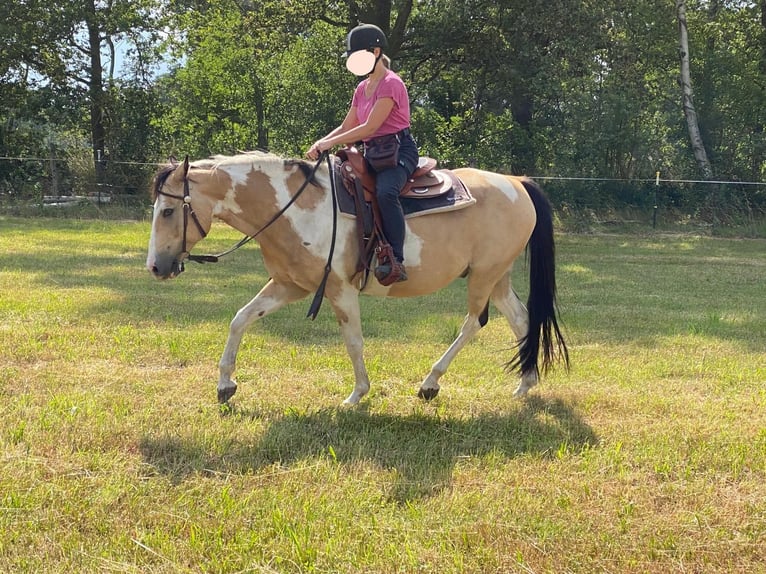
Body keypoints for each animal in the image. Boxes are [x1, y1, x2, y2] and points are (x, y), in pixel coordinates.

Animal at [146, 151, 568, 408]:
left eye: (167, 211)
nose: (155, 267)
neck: (297, 209)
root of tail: (517, 182)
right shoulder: (289, 285)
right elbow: (240, 318)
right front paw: (225, 385)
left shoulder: (339, 289)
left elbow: (353, 342)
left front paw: (357, 394)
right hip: (498, 277)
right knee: (521, 320)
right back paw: (525, 384)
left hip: (484, 275)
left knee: (473, 324)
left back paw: (430, 383)